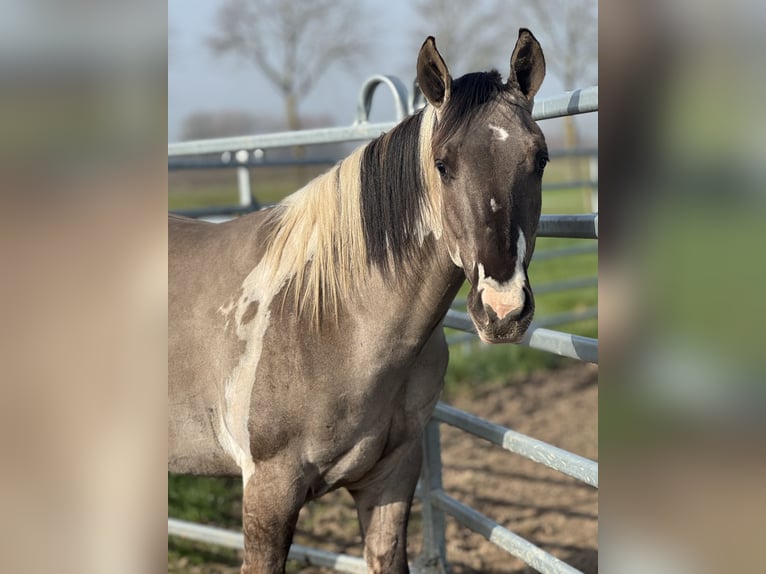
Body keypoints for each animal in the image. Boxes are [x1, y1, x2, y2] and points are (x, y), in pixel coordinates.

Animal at [169, 29, 547, 574]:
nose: (503, 310)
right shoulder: (268, 492)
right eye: (442, 164)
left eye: (539, 159)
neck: (330, 321)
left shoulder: (391, 478)